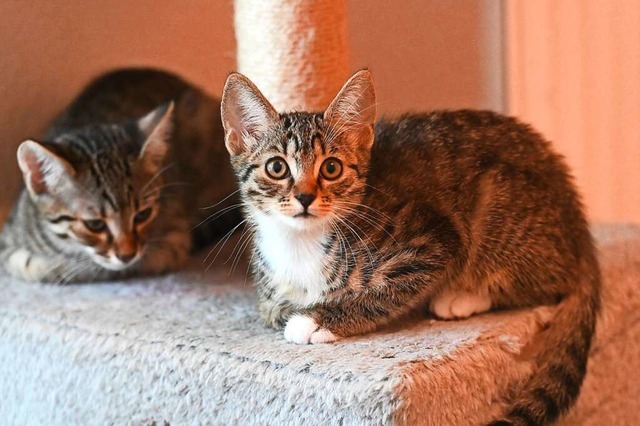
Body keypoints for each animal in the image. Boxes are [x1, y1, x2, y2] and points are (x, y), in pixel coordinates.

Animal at [0, 69, 238, 282]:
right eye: (94, 224)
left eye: (143, 215)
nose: (127, 255)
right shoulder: (8, 245)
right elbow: (36, 266)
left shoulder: (174, 240)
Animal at [219, 70, 600, 426]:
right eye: (276, 167)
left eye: (331, 168)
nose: (304, 197)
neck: (301, 243)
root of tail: (576, 216)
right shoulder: (269, 290)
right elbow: (272, 308)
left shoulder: (436, 242)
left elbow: (383, 294)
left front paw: (316, 320)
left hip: (496, 205)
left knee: (552, 284)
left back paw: (464, 297)